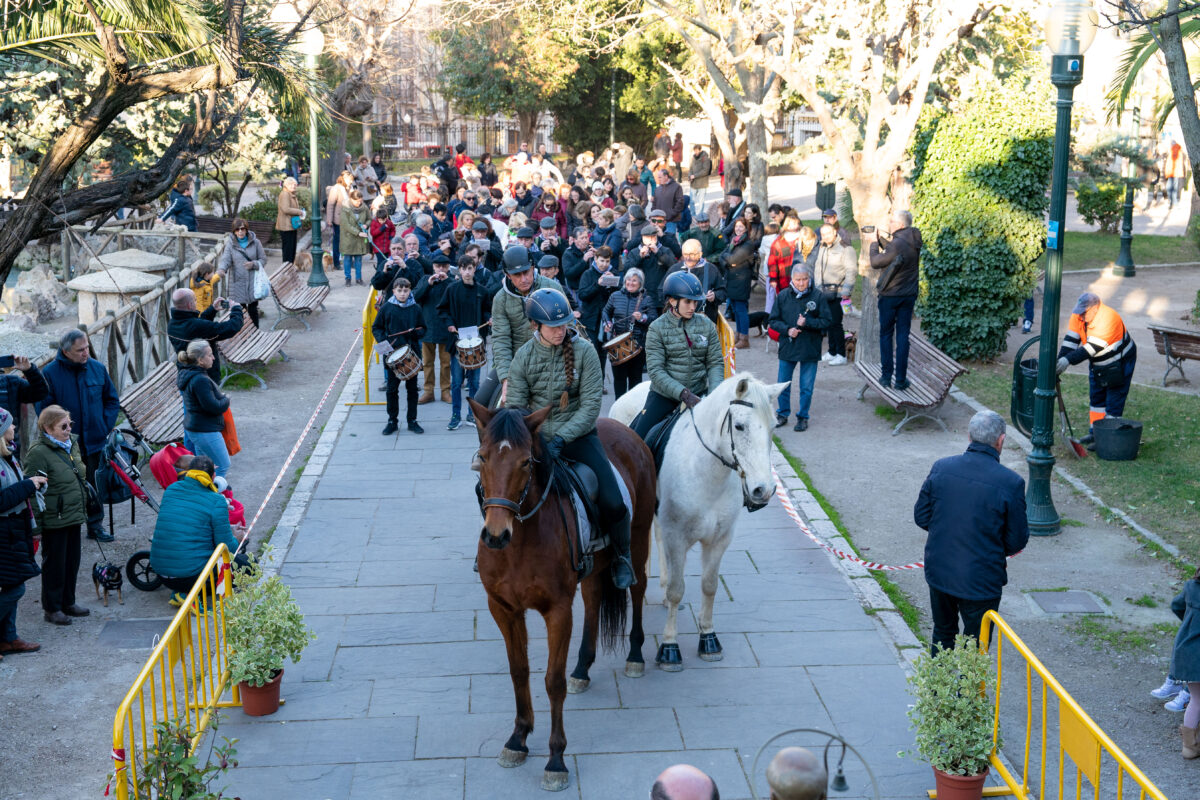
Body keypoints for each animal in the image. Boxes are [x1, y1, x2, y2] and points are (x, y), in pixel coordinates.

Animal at [468, 400, 657, 796]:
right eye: (483, 457)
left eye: (526, 461)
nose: (495, 535)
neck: (520, 541)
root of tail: (624, 429)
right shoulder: (503, 609)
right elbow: (519, 671)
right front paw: (518, 739)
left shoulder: (557, 609)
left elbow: (552, 681)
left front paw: (556, 759)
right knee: (594, 597)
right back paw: (583, 668)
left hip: (638, 535)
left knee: (637, 587)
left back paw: (635, 654)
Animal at [609, 374, 787, 671]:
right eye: (739, 426)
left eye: (774, 426)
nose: (764, 490)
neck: (707, 472)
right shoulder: (677, 536)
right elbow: (677, 589)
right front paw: (669, 648)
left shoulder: (719, 539)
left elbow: (709, 585)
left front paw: (708, 638)